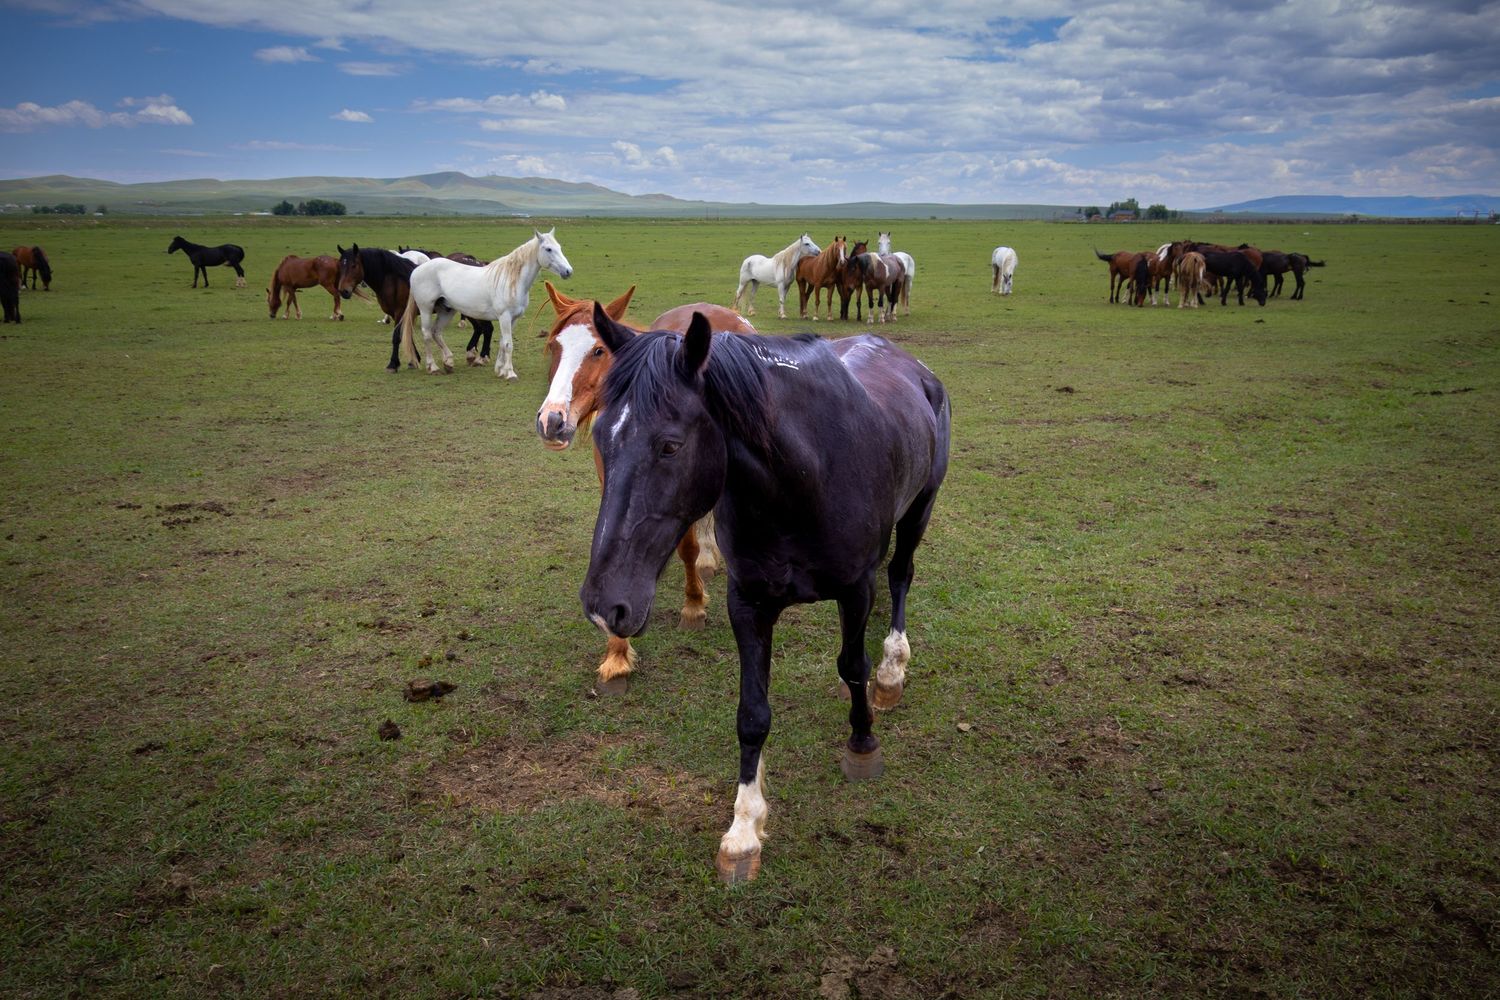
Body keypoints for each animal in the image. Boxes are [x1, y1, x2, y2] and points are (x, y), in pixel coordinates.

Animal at [401, 229, 573, 378]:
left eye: (559, 247)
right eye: (548, 249)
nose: (568, 271)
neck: (511, 280)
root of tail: (418, 268)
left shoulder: (513, 319)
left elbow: (503, 343)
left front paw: (500, 370)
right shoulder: (504, 317)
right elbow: (508, 344)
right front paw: (510, 373)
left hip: (446, 310)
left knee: (436, 332)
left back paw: (448, 362)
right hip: (426, 308)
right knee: (427, 334)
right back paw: (433, 367)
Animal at [535, 284, 757, 692]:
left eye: (598, 350)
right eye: (556, 346)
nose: (551, 420)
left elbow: (687, 547)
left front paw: (693, 606)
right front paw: (616, 654)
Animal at [580, 308, 950, 883]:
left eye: (670, 445)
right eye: (600, 435)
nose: (604, 607)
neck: (803, 479)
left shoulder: (855, 587)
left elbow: (852, 663)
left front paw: (862, 743)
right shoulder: (748, 604)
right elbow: (752, 714)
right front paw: (743, 829)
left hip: (919, 511)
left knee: (900, 578)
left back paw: (890, 671)